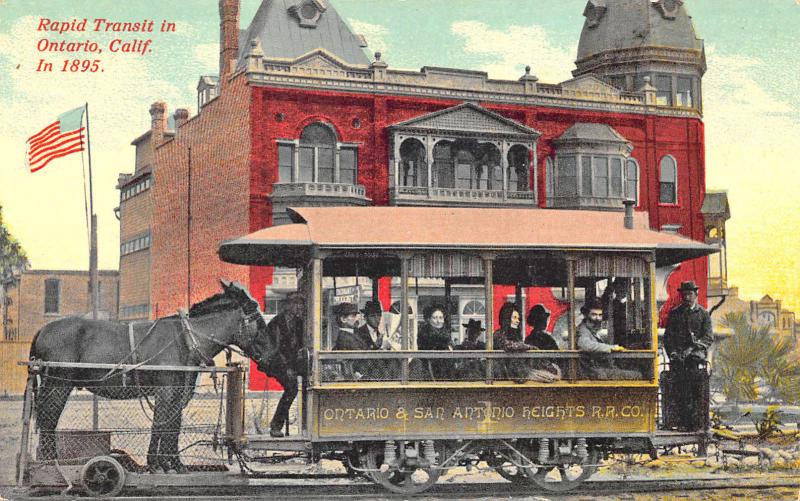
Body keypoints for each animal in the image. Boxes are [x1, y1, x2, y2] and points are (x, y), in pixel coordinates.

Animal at [28, 280, 266, 470]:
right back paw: (49, 460)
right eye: (256, 314)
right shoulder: (165, 391)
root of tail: (42, 331)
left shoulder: (178, 393)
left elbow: (173, 426)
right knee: (49, 418)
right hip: (58, 385)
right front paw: (155, 462)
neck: (186, 340)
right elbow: (160, 424)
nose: (266, 353)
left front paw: (174, 463)